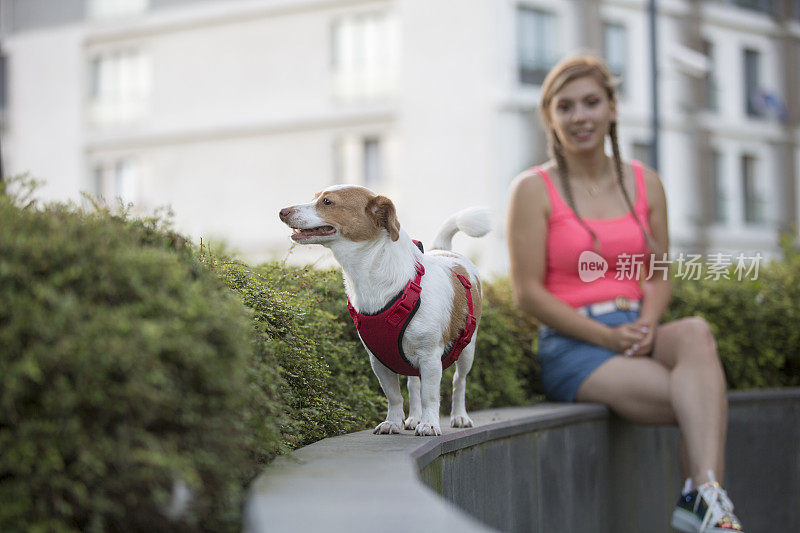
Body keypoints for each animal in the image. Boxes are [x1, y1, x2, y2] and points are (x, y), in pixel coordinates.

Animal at [278, 185, 490, 434]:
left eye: (327, 202)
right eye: (314, 197)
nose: (282, 211)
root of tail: (444, 252)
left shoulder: (430, 358)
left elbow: (430, 396)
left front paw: (429, 424)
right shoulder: (379, 360)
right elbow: (394, 396)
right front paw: (393, 421)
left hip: (467, 350)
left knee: (459, 381)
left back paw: (459, 416)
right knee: (413, 384)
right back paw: (414, 418)